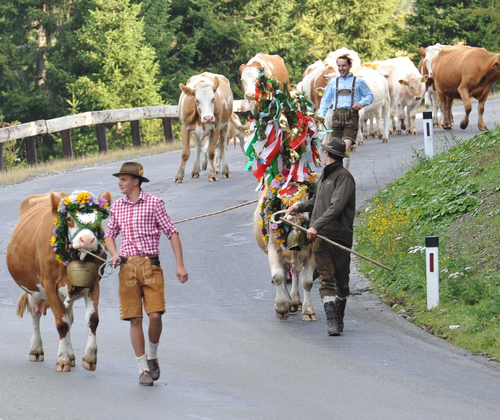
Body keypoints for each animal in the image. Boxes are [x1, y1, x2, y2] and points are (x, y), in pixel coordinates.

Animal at [7, 189, 111, 372]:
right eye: (69, 218)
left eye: (98, 217)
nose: (87, 241)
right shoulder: (49, 285)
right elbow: (61, 323)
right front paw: (62, 359)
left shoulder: (94, 283)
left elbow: (92, 319)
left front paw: (89, 357)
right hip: (33, 289)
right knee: (36, 315)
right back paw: (36, 350)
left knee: (69, 316)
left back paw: (71, 355)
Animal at [253, 189, 316, 321]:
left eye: (307, 192)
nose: (298, 214)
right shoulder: (273, 250)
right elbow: (277, 276)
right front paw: (281, 306)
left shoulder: (312, 253)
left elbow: (307, 282)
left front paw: (308, 311)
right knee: (284, 272)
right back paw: (288, 301)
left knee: (294, 273)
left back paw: (295, 301)